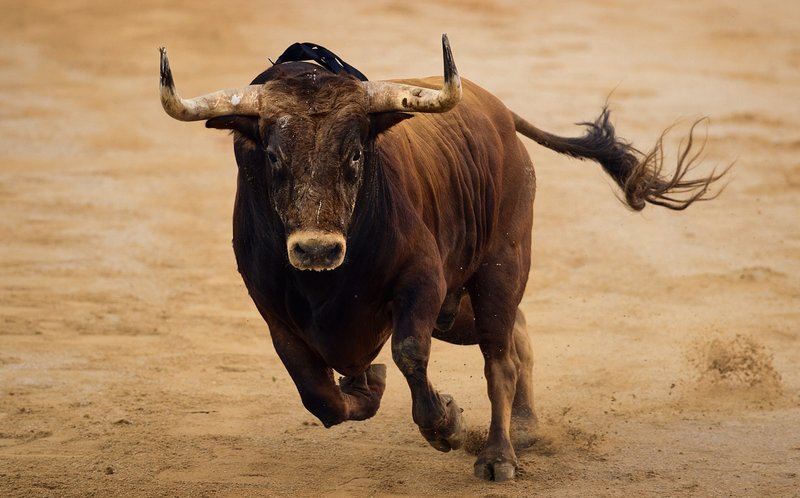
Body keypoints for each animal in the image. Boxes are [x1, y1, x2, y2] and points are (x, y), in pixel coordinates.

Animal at [158, 35, 725, 481]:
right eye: (274, 156)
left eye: (356, 154)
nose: (317, 250)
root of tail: (500, 114)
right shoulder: (274, 313)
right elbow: (320, 396)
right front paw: (368, 387)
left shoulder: (422, 282)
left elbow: (409, 353)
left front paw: (447, 424)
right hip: (458, 310)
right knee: (517, 334)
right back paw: (526, 427)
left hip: (500, 267)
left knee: (500, 357)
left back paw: (499, 455)